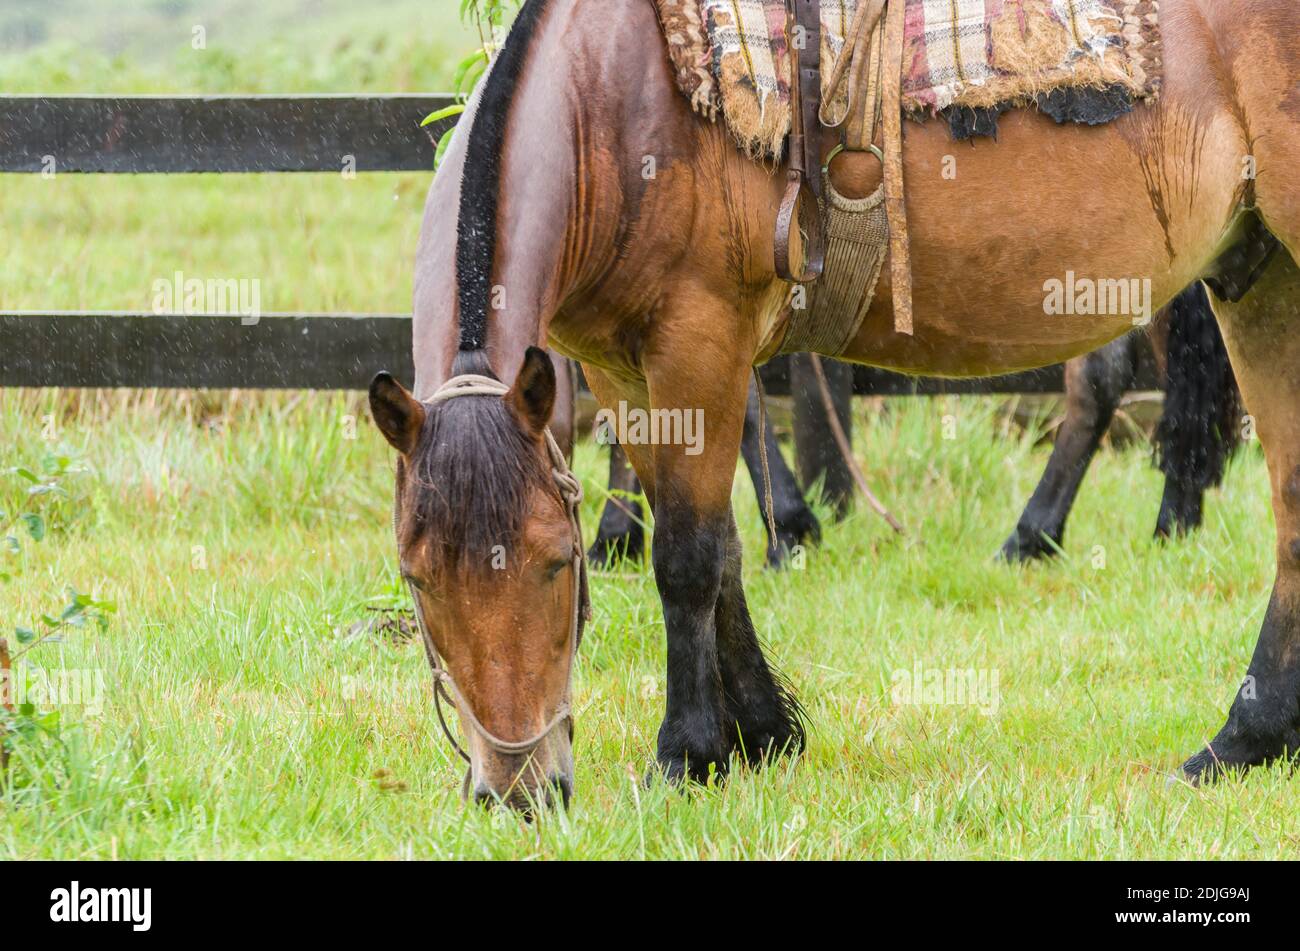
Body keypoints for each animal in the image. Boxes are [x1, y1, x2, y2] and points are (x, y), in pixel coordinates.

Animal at [369, 0, 1300, 807]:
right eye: (417, 578)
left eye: (558, 562)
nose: (518, 790)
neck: (615, 98)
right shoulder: (624, 373)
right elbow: (720, 543)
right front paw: (761, 730)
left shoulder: (698, 343)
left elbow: (687, 555)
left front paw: (687, 753)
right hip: (1258, 274)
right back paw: (1245, 739)